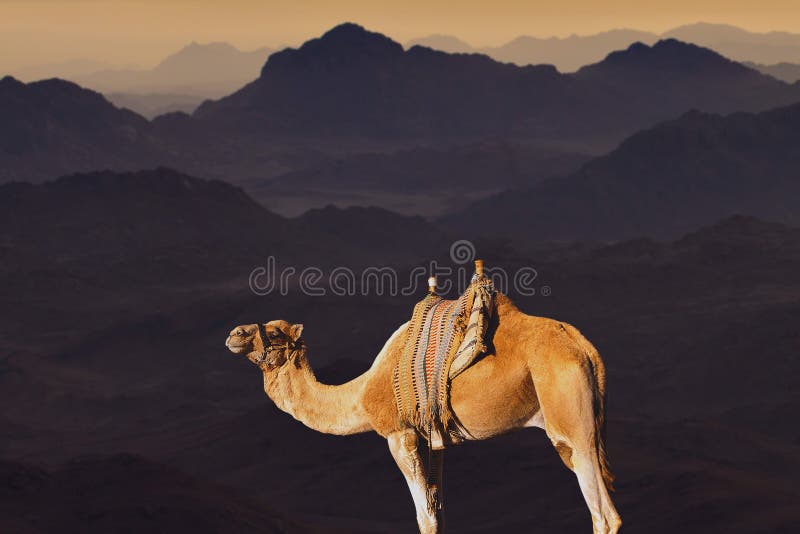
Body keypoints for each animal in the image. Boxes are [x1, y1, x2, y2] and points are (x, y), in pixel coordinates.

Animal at [228, 296, 620, 532]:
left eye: (274, 333)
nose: (235, 333)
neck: (361, 395)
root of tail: (585, 348)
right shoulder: (434, 442)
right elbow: (439, 512)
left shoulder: (399, 436)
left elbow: (425, 518)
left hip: (571, 423)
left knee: (604, 515)